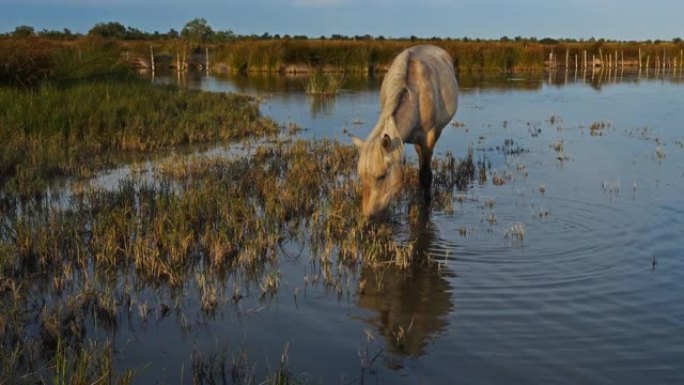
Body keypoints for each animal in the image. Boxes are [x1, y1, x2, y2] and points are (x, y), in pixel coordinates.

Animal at [352, 45, 460, 216]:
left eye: (382, 176)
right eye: (362, 177)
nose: (367, 215)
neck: (416, 95)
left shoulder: (428, 138)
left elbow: (426, 174)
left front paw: (426, 205)